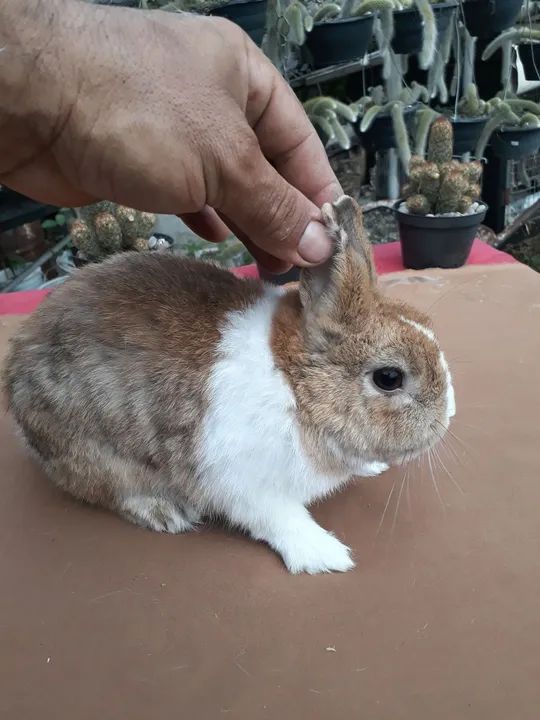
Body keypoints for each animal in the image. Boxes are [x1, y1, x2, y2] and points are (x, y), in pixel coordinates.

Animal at [3, 195, 455, 575]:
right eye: (389, 378)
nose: (449, 416)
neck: (296, 390)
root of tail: (16, 365)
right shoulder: (245, 483)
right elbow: (282, 519)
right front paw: (327, 556)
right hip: (96, 453)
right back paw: (165, 513)